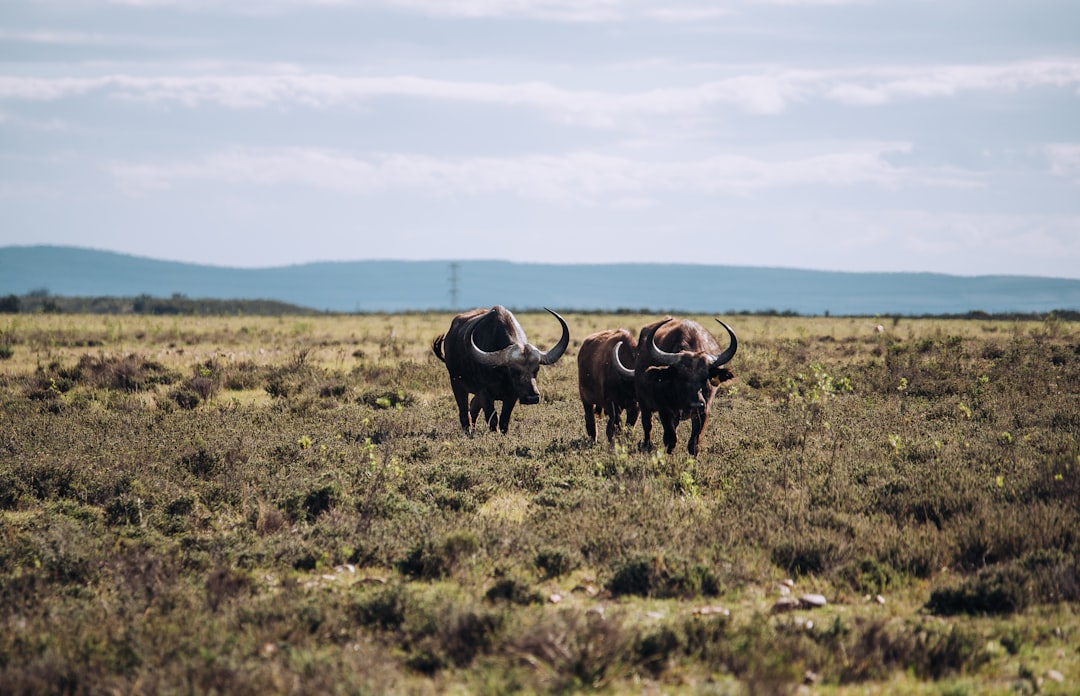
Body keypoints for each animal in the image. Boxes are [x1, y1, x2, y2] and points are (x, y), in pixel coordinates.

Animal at [429, 306, 570, 432]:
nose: (532, 398)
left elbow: (504, 420)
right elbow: (492, 419)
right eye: (513, 370)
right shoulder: (484, 393)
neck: (501, 374)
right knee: (464, 411)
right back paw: (467, 431)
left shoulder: (512, 396)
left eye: (536, 369)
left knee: (473, 407)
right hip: (456, 383)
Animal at [617, 317, 743, 456]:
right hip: (643, 404)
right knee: (647, 425)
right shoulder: (665, 410)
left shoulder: (704, 411)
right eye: (681, 377)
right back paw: (646, 446)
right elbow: (670, 438)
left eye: (705, 377)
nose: (696, 404)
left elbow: (694, 443)